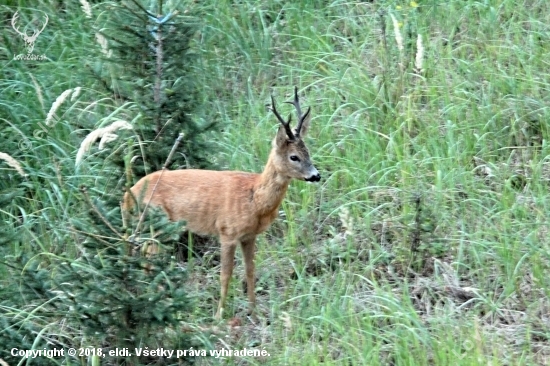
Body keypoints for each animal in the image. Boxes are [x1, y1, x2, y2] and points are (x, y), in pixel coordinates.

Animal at [123, 87, 322, 318]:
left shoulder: (249, 236)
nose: (316, 175)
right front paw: (219, 315)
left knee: (146, 253)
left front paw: (253, 311)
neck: (255, 199)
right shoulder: (227, 232)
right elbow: (226, 274)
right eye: (294, 157)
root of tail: (128, 196)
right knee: (149, 255)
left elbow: (250, 270)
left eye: (308, 152)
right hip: (158, 221)